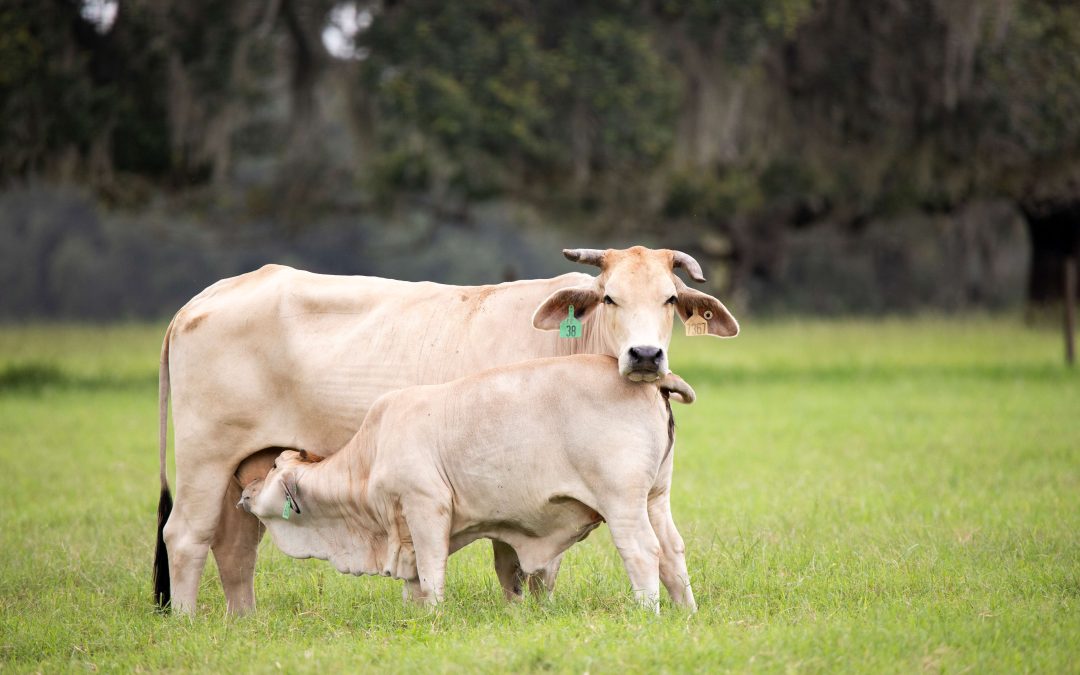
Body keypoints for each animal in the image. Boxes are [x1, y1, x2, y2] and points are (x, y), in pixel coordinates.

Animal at [239, 352, 695, 609]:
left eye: (274, 467)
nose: (244, 492)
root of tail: (656, 379)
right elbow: (413, 581)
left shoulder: (426, 506)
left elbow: (431, 572)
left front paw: (435, 615)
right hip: (655, 496)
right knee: (672, 551)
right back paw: (683, 612)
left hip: (622, 502)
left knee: (643, 551)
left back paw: (647, 613)